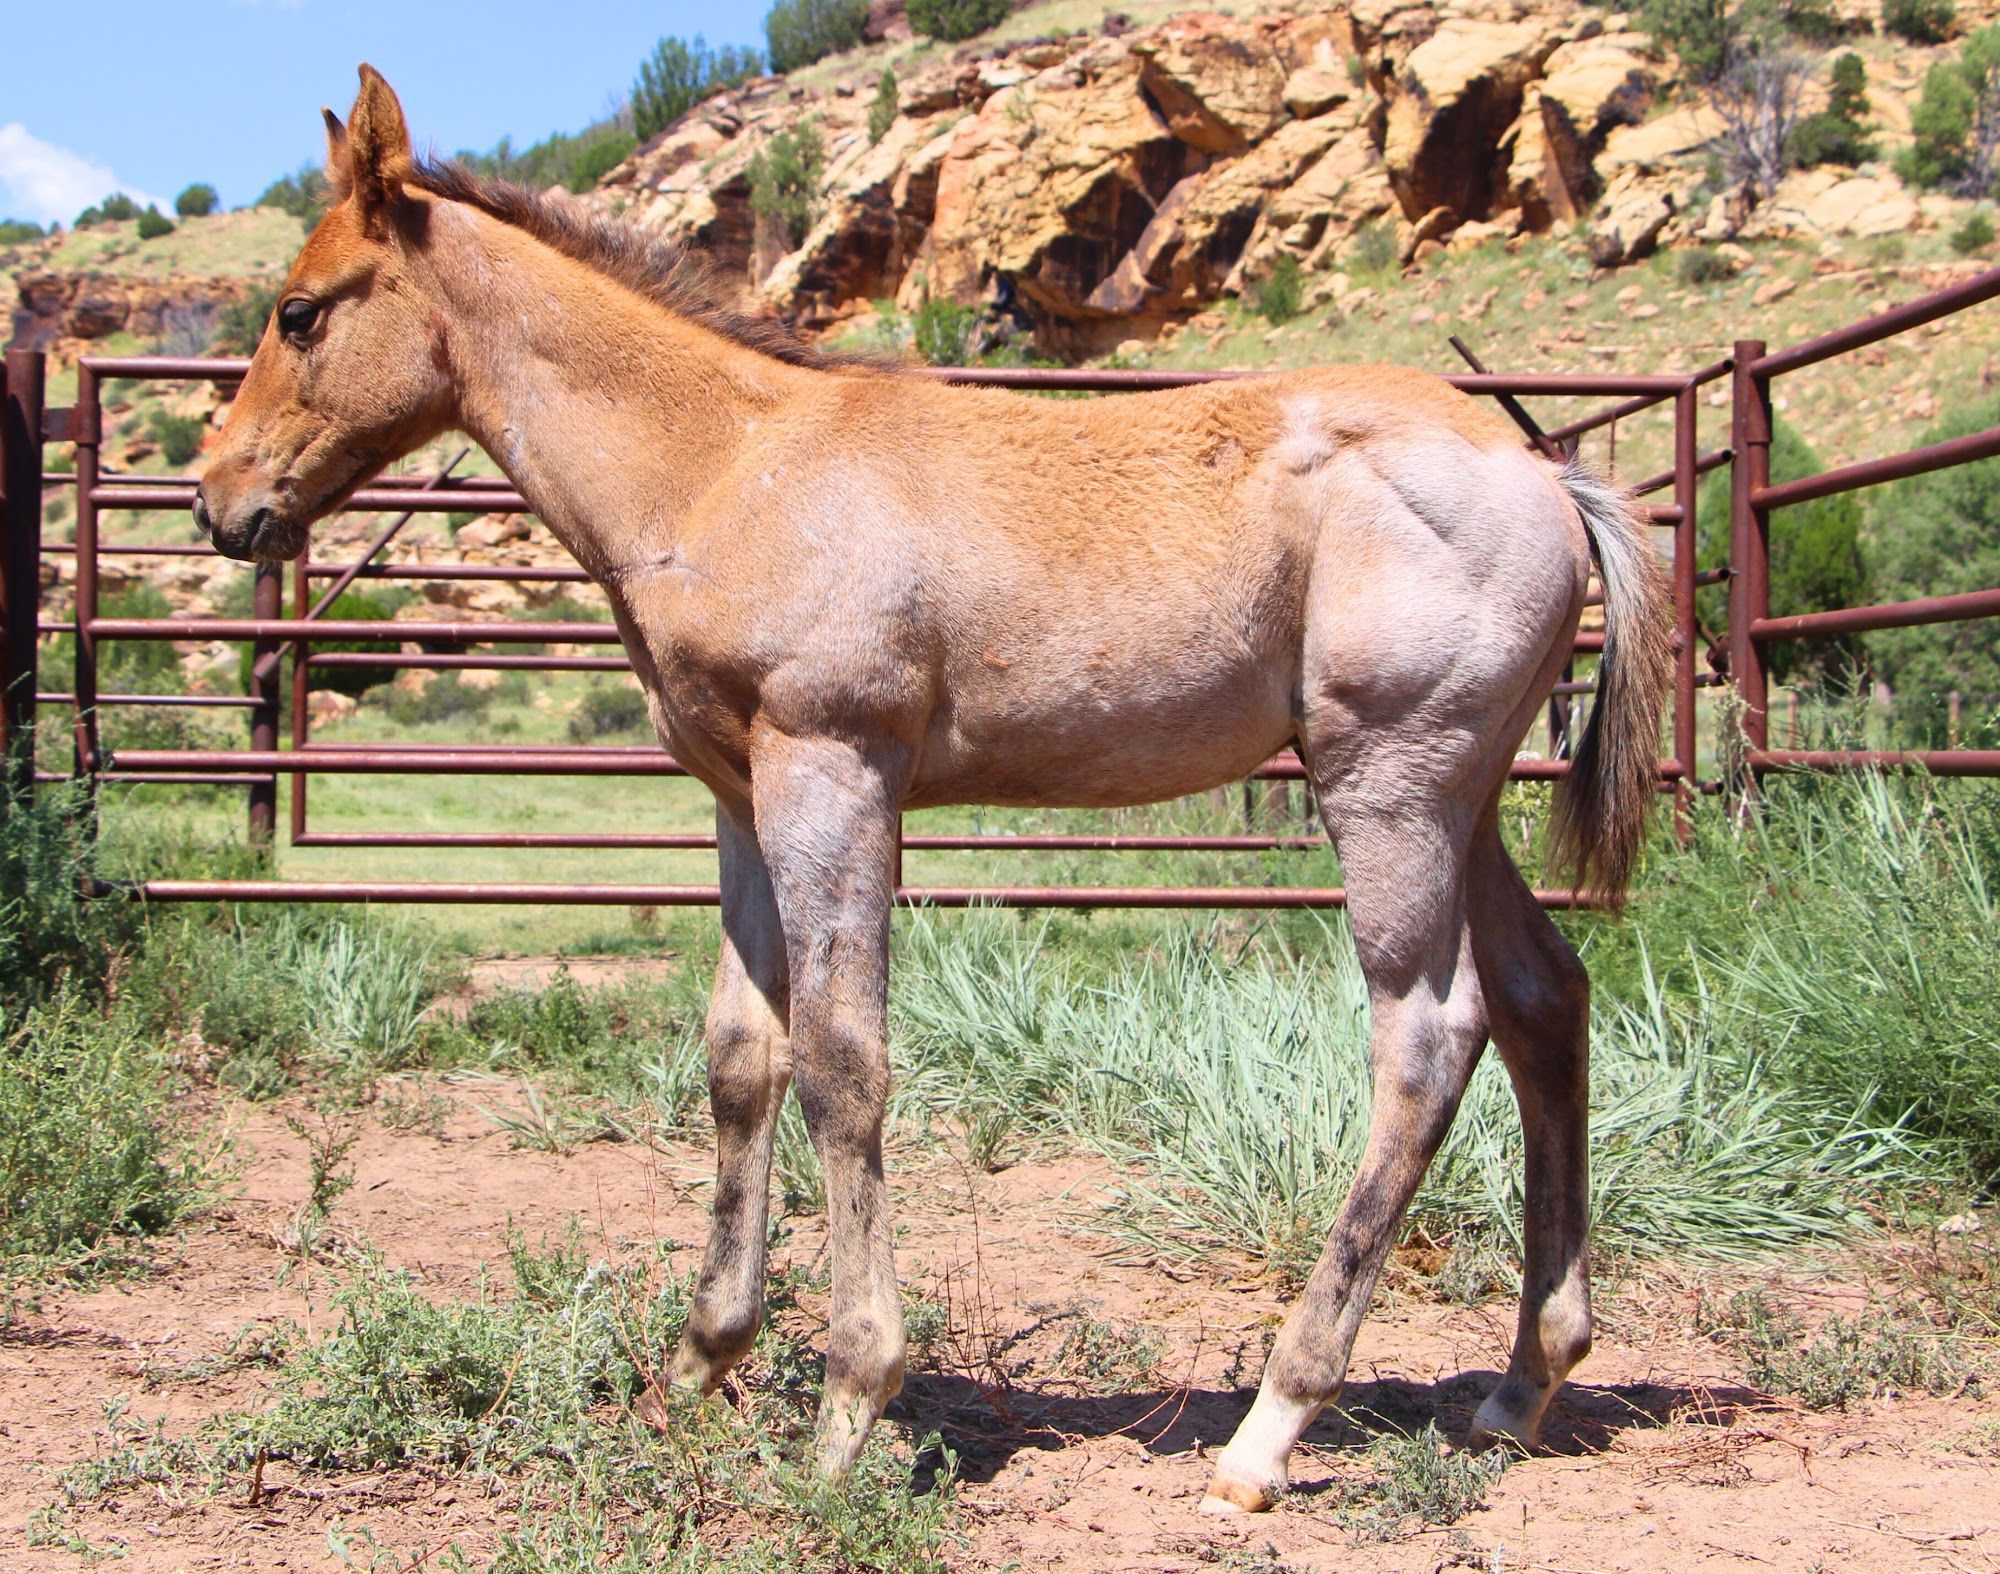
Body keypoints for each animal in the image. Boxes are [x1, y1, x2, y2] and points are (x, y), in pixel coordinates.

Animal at [197, 66, 1671, 1513]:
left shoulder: (834, 769)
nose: (217, 500)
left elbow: (843, 1060)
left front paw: (851, 1404)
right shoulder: (740, 794)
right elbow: (742, 1056)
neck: (727, 464)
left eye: (298, 308)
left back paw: (1269, 1429)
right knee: (1546, 997)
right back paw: (1521, 1385)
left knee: (1426, 1040)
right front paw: (700, 1362)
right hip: (1461, 794)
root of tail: (1546, 471)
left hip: (1387, 786)